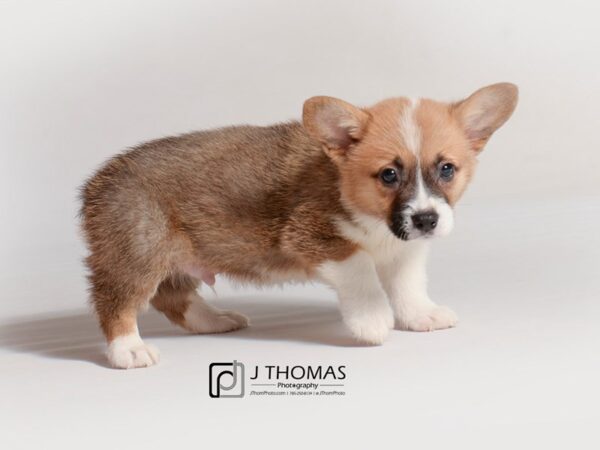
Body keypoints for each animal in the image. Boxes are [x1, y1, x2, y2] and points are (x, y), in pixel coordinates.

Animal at [82, 82, 516, 368]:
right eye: (389, 175)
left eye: (447, 169)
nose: (426, 219)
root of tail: (98, 180)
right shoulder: (312, 236)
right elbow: (361, 269)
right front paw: (373, 320)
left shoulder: (405, 249)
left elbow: (408, 285)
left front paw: (420, 315)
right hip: (137, 254)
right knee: (117, 303)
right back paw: (129, 350)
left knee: (173, 297)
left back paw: (215, 320)